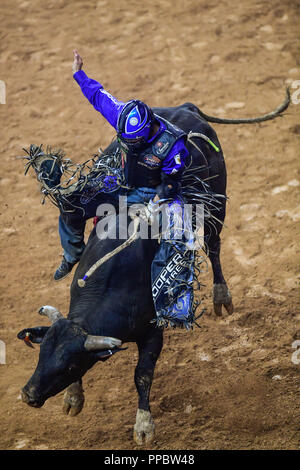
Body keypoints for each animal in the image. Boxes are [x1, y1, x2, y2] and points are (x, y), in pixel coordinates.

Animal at [17, 102, 233, 444]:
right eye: (41, 355)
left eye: (68, 366)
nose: (28, 394)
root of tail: (185, 108)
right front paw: (73, 398)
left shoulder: (152, 332)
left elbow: (142, 375)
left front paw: (144, 425)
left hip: (216, 207)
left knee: (214, 248)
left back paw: (221, 296)